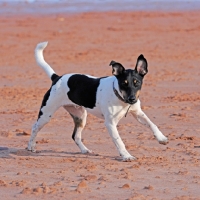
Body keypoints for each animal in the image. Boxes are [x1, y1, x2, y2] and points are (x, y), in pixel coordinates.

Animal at [27, 41, 168, 161]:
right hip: (46, 114)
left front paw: (161, 138)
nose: (132, 99)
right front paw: (126, 156)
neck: (120, 98)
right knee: (35, 127)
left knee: (75, 136)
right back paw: (30, 146)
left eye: (137, 83)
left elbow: (152, 124)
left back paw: (85, 150)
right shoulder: (110, 123)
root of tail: (57, 78)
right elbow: (119, 141)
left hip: (80, 116)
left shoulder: (138, 113)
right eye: (123, 84)